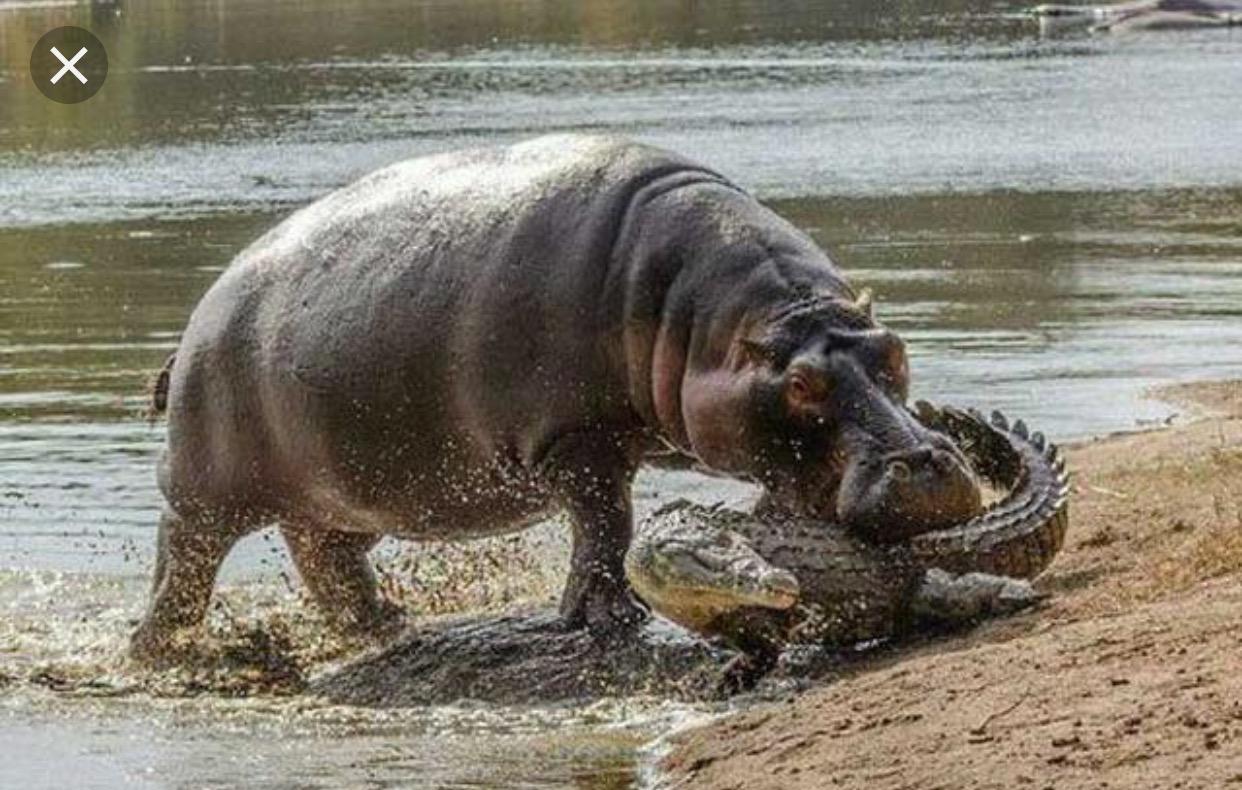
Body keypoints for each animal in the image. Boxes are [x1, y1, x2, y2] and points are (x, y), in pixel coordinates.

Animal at [131, 136, 983, 660]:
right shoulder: (575, 440)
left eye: (894, 351)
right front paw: (608, 620)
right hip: (209, 489)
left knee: (325, 557)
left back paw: (388, 626)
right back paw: (162, 651)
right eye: (802, 384)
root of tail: (196, 323)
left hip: (341, 492)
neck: (706, 320)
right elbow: (606, 524)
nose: (929, 464)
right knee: (185, 559)